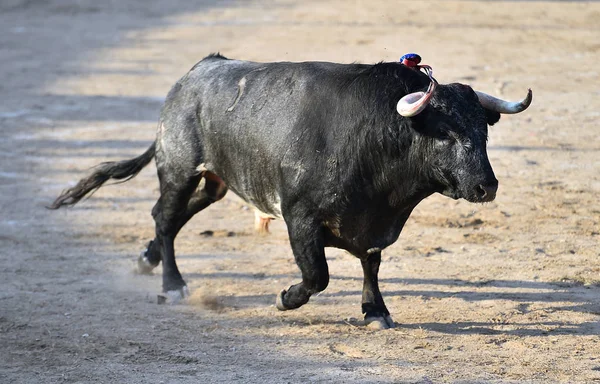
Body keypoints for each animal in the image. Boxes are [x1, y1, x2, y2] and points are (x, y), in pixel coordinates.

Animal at [50, 53, 528, 330]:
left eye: (484, 129)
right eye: (445, 132)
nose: (486, 186)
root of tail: (196, 72)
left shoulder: (374, 223)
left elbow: (371, 264)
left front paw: (376, 312)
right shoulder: (301, 218)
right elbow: (317, 275)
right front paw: (284, 299)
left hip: (216, 180)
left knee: (170, 215)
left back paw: (146, 260)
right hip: (179, 168)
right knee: (167, 218)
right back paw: (173, 284)